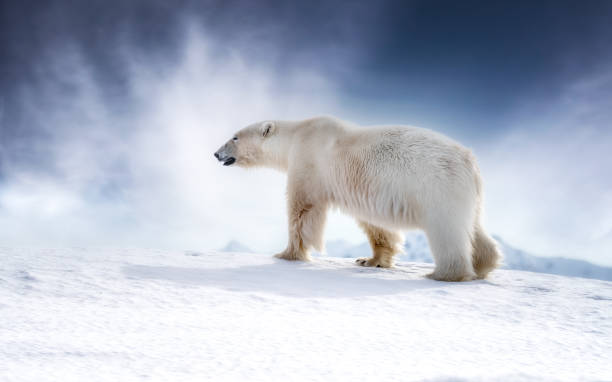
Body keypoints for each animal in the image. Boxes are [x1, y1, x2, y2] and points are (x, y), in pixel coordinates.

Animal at [215, 116, 502, 280]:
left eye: (235, 136)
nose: (216, 154)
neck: (297, 135)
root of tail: (469, 160)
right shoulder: (363, 186)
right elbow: (375, 224)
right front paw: (371, 260)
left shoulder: (309, 163)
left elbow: (303, 209)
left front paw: (287, 254)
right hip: (464, 193)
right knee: (474, 228)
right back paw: (484, 264)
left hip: (437, 186)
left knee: (447, 231)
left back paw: (443, 274)